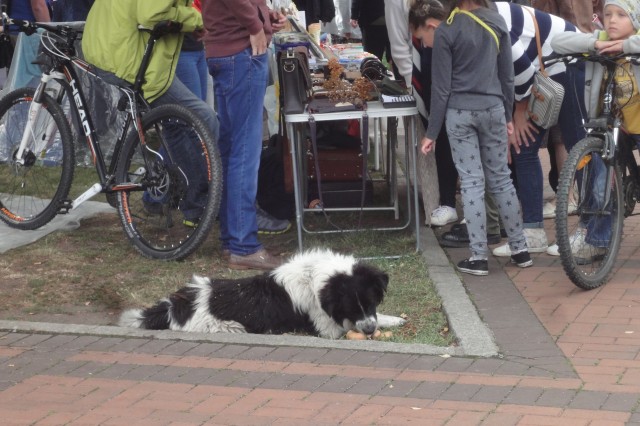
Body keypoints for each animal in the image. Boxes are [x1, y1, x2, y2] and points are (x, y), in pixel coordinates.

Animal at [120, 248, 404, 338]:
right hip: (229, 327)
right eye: (351, 308)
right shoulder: (327, 329)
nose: (369, 329)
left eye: (371, 302)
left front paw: (394, 319)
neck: (316, 275)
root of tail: (176, 305)